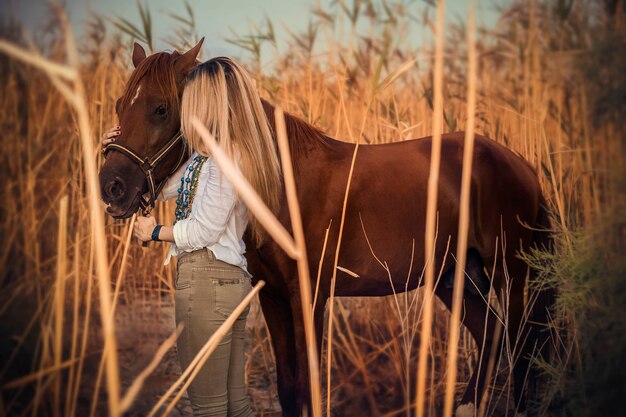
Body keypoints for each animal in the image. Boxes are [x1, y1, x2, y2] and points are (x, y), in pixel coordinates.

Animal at [100, 42, 552, 416]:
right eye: (120, 104)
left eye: (160, 108)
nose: (111, 186)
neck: (280, 179)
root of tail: (520, 163)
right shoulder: (273, 296)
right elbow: (288, 389)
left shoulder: (309, 295)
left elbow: (309, 389)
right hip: (454, 275)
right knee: (492, 334)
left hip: (512, 274)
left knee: (522, 347)